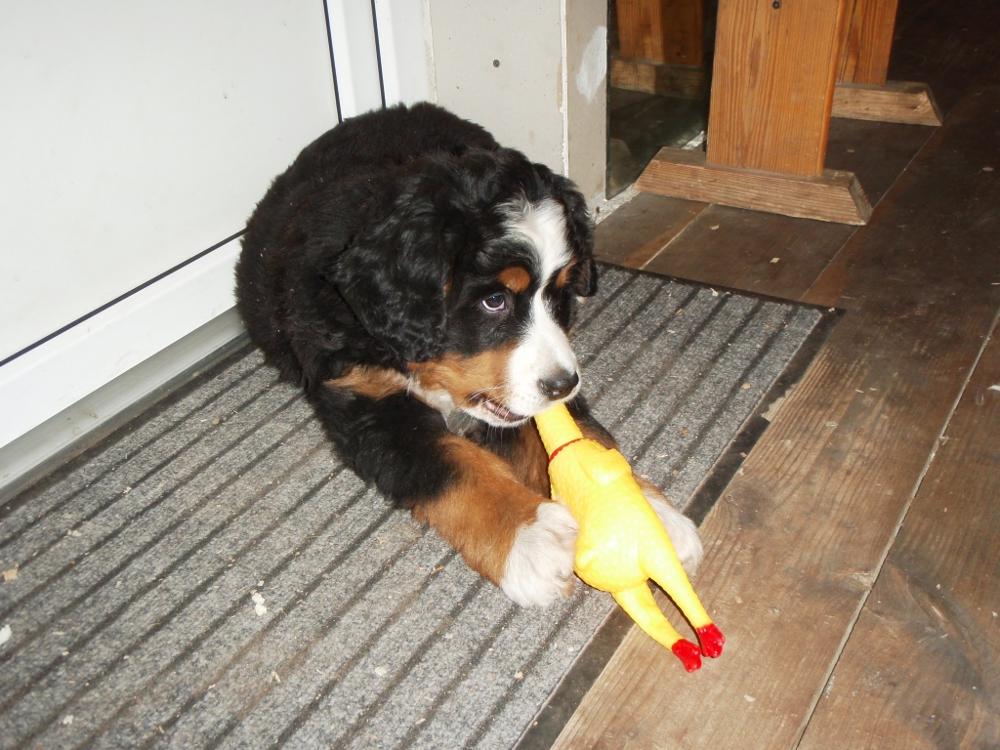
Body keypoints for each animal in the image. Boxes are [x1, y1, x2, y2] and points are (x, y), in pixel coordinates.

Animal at [235, 103, 701, 606]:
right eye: (493, 301)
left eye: (560, 292)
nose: (563, 384)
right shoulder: (367, 399)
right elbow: (453, 462)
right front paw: (533, 537)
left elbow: (582, 439)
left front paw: (650, 514)